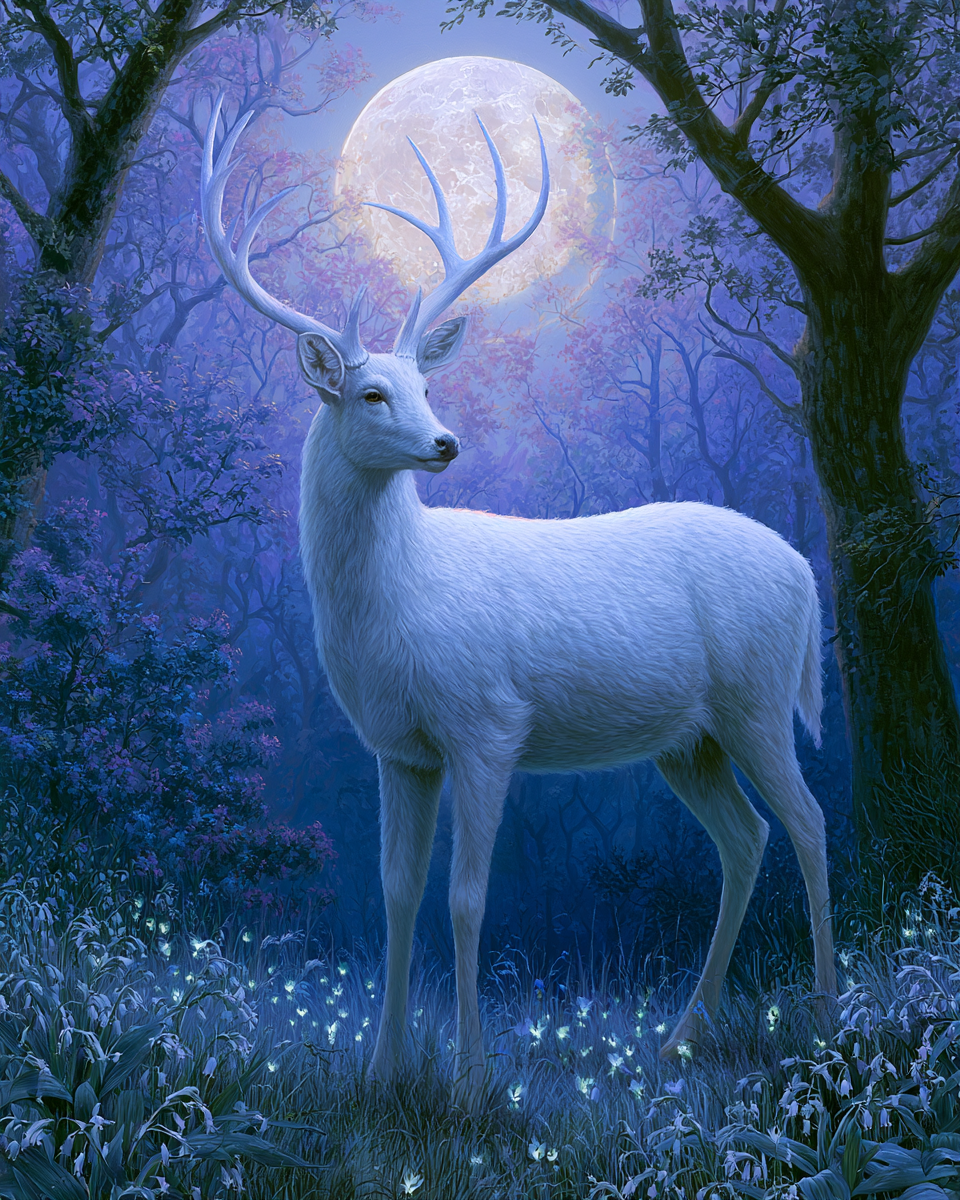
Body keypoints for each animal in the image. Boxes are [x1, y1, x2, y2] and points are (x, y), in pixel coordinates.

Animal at [201, 96, 837, 1099]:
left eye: (429, 383)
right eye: (372, 393)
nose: (446, 443)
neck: (397, 609)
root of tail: (806, 573)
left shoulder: (488, 722)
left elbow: (468, 898)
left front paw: (468, 1080)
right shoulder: (399, 747)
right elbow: (397, 891)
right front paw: (383, 1070)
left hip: (758, 697)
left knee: (809, 825)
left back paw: (826, 1016)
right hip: (690, 740)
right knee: (746, 839)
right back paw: (678, 1038)